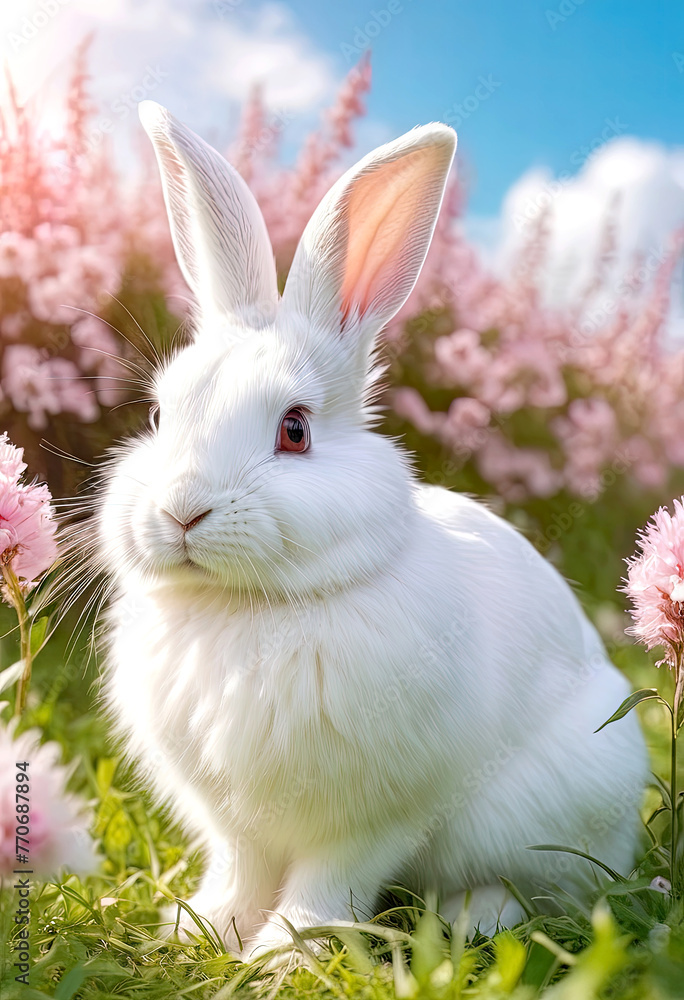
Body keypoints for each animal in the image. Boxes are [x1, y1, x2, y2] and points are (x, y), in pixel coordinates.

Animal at [97, 100, 649, 955]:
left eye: (294, 430)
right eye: (159, 416)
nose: (181, 510)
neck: (250, 609)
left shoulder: (374, 817)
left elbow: (331, 882)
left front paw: (285, 954)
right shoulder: (236, 824)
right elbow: (240, 871)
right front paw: (202, 932)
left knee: (538, 893)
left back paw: (468, 919)